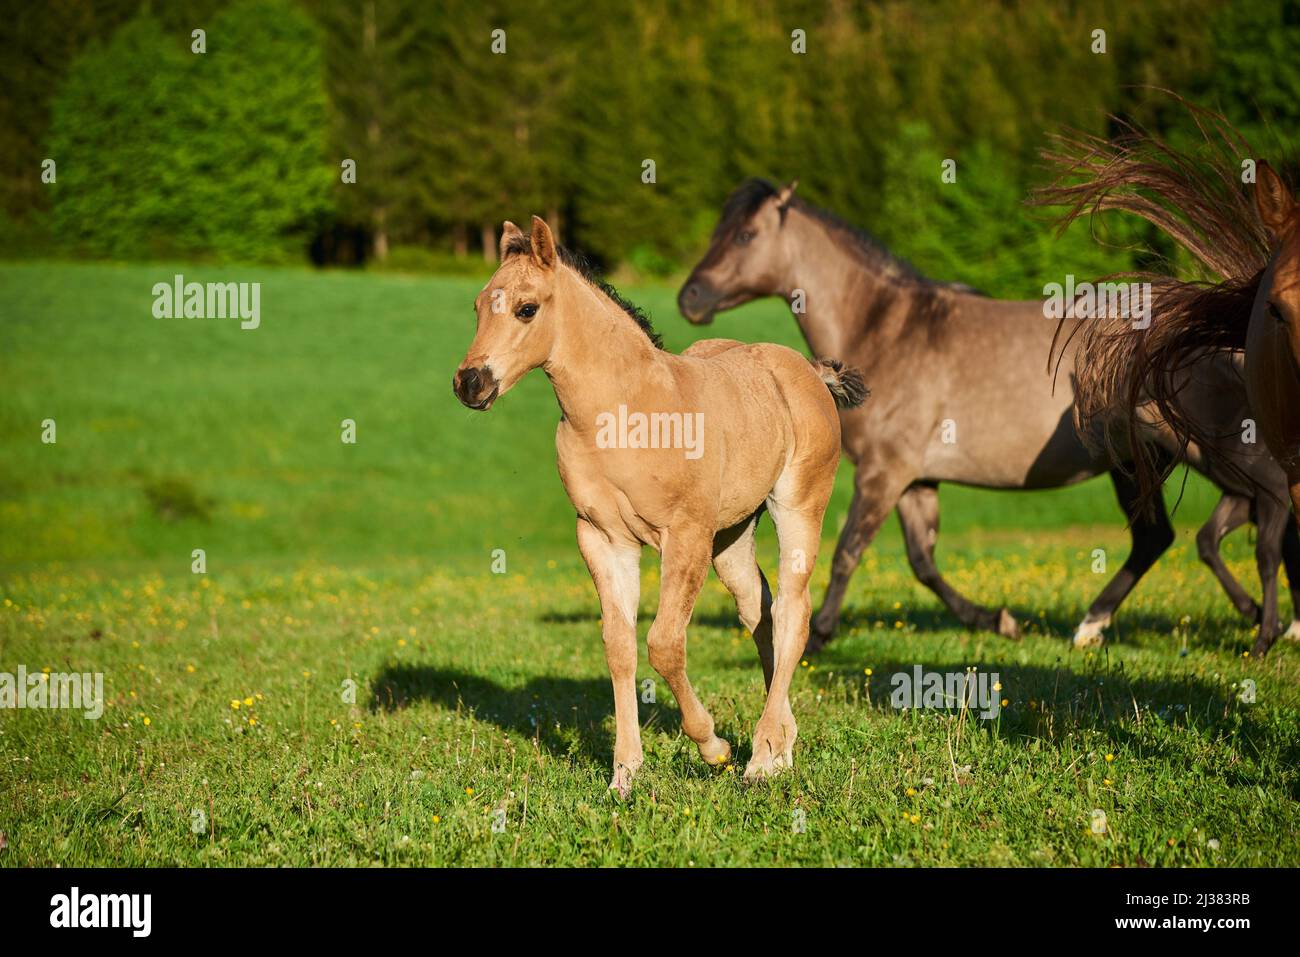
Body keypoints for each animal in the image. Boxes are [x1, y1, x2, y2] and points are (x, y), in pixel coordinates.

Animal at [452, 216, 867, 793]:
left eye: (526, 308)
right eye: (477, 305)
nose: (470, 383)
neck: (624, 413)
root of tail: (807, 370)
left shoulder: (685, 536)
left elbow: (664, 644)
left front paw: (714, 748)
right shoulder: (602, 539)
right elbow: (620, 646)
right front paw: (624, 774)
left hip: (798, 506)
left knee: (793, 610)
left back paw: (760, 760)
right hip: (731, 536)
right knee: (759, 611)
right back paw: (780, 746)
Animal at [678, 179, 1300, 651]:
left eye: (746, 234)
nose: (690, 298)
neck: (889, 331)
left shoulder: (884, 472)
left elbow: (851, 548)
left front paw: (821, 633)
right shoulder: (916, 479)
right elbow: (923, 561)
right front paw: (997, 621)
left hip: (1203, 448)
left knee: (1248, 513)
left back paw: (1257, 628)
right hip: (1147, 460)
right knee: (1172, 535)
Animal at [1036, 104, 1300, 657]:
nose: (1095, 447)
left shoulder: (1271, 495)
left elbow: (1267, 554)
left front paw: (1264, 633)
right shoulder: (1243, 496)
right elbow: (1210, 543)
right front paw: (1256, 616)